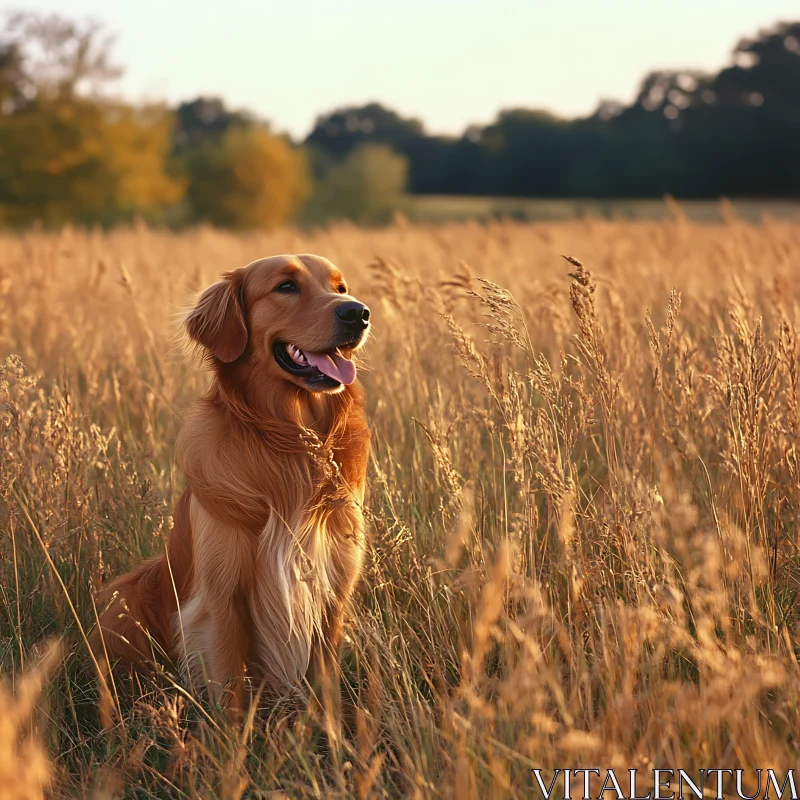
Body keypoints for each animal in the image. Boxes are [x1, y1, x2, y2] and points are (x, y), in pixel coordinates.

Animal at [90, 253, 372, 708]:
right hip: (128, 597)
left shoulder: (333, 591)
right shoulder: (222, 600)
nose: (358, 313)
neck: (288, 442)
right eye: (285, 286)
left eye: (341, 288)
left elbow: (325, 683)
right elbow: (231, 692)